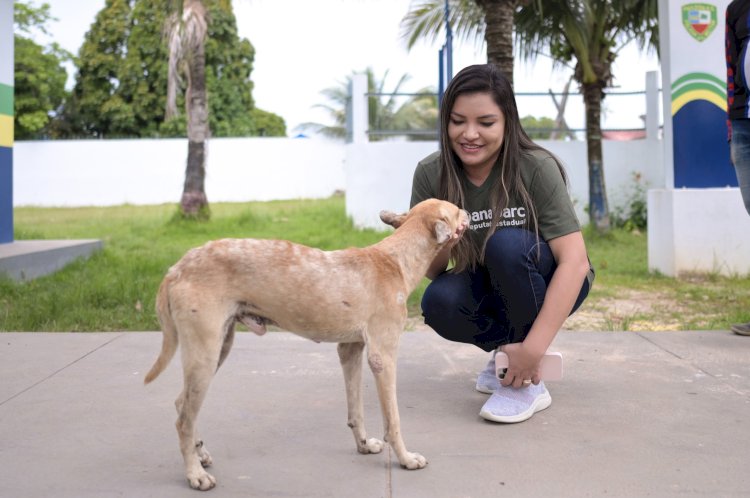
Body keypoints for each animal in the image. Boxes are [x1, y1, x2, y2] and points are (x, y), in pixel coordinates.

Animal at [145, 197, 470, 490]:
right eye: (456, 208)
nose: (469, 212)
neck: (395, 261)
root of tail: (177, 268)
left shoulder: (350, 350)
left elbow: (356, 410)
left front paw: (364, 445)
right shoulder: (383, 357)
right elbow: (394, 420)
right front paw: (405, 458)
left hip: (219, 347)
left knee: (182, 404)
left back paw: (200, 454)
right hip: (205, 353)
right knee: (183, 419)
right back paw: (195, 474)